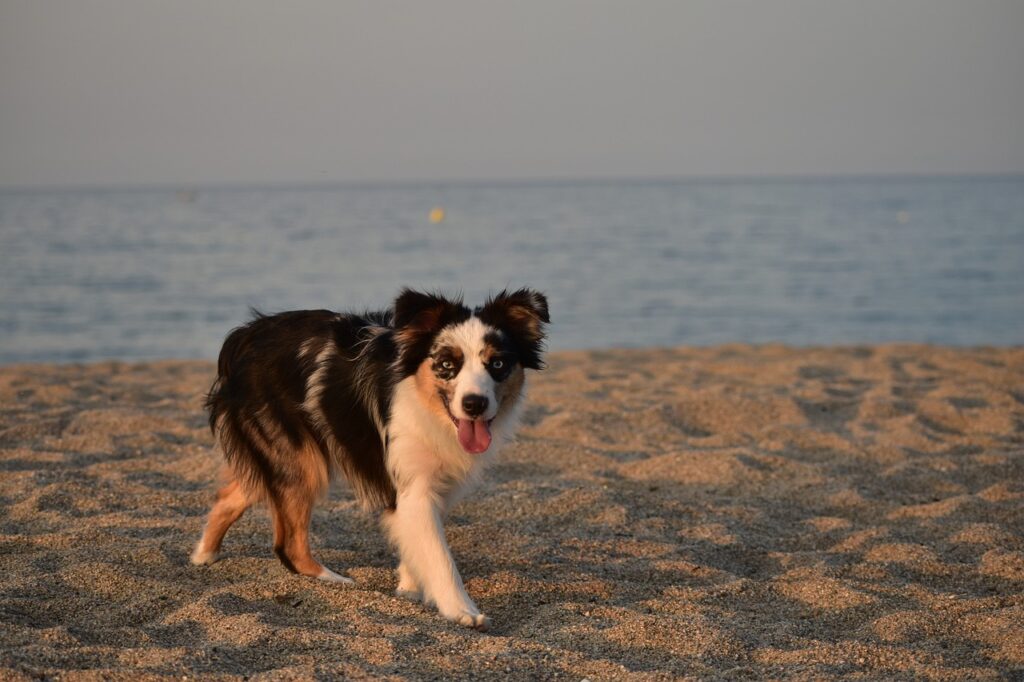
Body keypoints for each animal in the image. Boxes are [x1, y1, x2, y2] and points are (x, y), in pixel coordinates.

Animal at [188, 286, 548, 626]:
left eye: (497, 364)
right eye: (447, 365)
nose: (475, 404)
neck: (424, 401)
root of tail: (243, 336)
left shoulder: (434, 486)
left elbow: (416, 539)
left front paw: (409, 587)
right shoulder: (413, 485)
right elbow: (439, 555)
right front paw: (462, 611)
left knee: (231, 496)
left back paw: (203, 556)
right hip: (302, 460)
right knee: (288, 544)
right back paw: (335, 581)